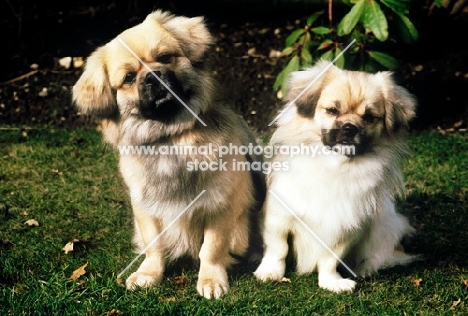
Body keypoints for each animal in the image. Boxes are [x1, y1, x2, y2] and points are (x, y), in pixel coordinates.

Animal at [72, 10, 266, 298]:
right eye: (129, 78)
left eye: (165, 57)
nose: (153, 76)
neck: (170, 138)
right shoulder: (146, 208)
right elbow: (154, 247)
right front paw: (149, 273)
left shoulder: (220, 206)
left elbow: (212, 249)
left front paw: (211, 279)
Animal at [254, 60, 418, 292]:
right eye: (332, 110)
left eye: (369, 117)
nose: (350, 128)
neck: (335, 165)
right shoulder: (278, 218)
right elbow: (278, 249)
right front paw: (270, 272)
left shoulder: (346, 229)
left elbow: (329, 260)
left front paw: (331, 282)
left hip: (384, 227)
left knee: (380, 254)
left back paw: (365, 268)